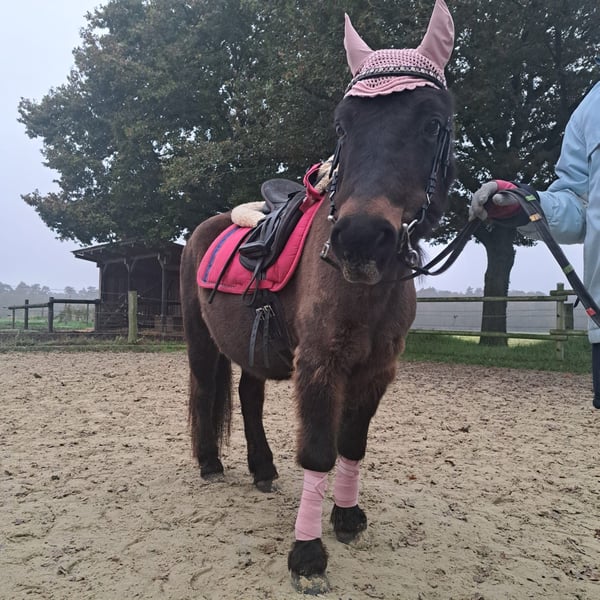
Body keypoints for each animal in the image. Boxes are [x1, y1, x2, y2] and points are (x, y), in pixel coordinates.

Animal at [180, 0, 455, 593]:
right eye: (342, 124)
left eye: (430, 122)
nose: (360, 238)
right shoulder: (320, 364)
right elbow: (319, 452)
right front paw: (307, 554)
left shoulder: (376, 369)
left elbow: (351, 444)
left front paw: (347, 517)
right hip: (200, 342)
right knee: (205, 389)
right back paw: (211, 464)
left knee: (249, 396)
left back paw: (262, 469)